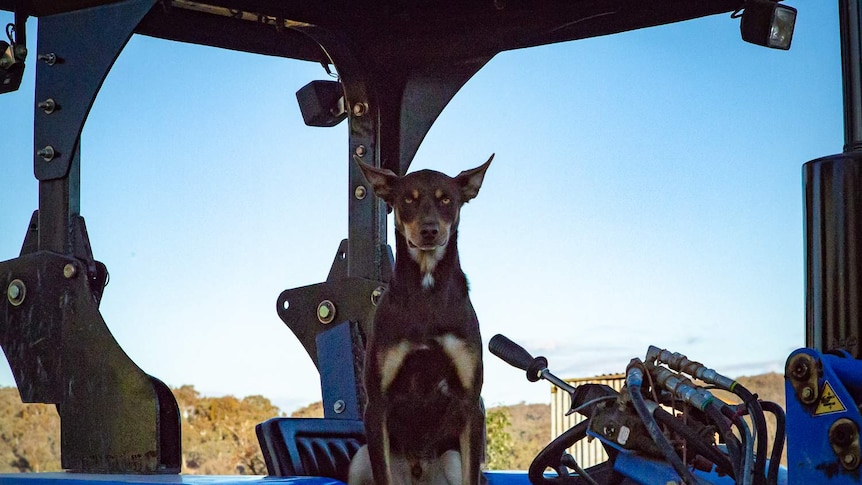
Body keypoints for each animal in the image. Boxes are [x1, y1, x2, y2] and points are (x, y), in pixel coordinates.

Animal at [352, 155, 496, 484]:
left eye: (446, 200)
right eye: (408, 199)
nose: (429, 231)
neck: (427, 292)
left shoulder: (470, 405)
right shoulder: (376, 406)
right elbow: (383, 475)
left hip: (452, 458)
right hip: (359, 458)